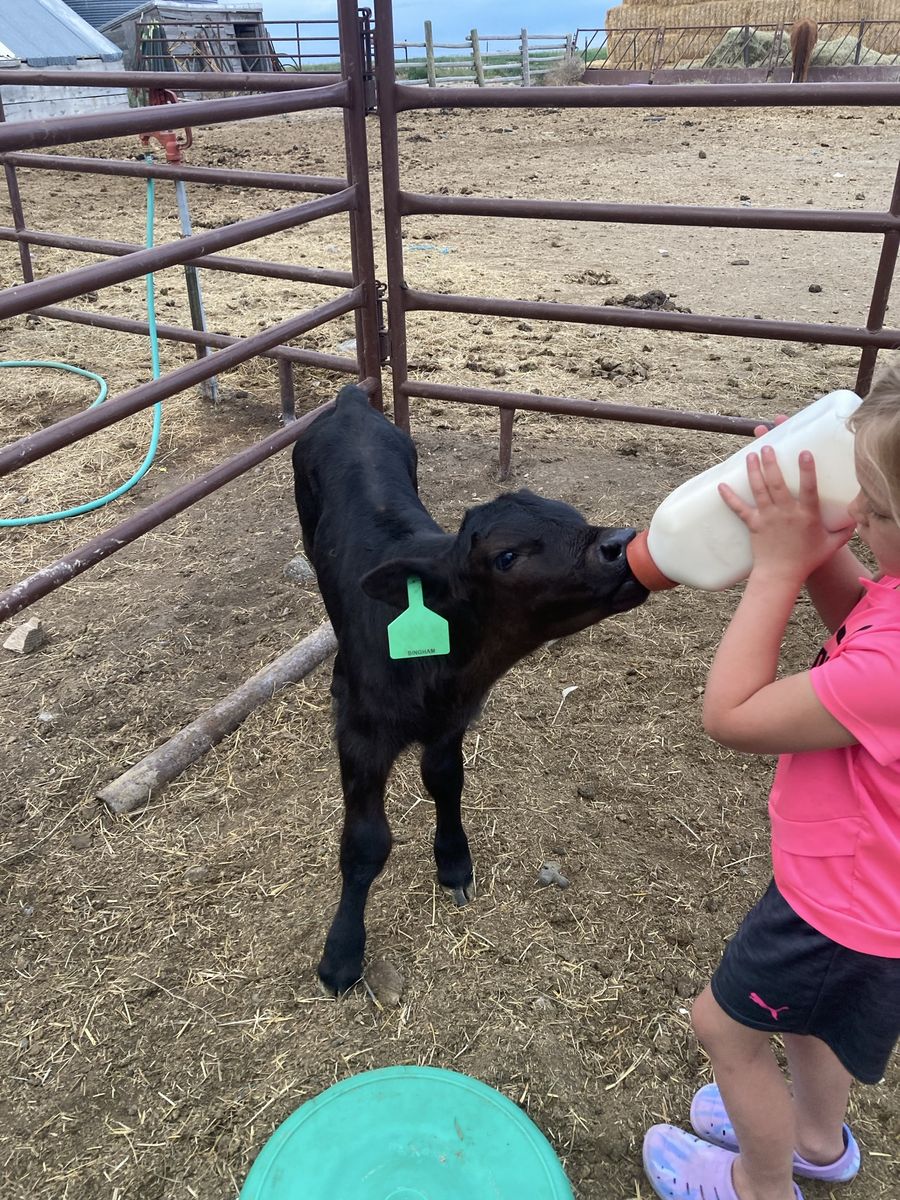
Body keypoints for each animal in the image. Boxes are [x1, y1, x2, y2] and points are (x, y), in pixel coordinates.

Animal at [292, 384, 648, 995]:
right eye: (506, 555)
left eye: (575, 517)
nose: (621, 543)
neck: (441, 671)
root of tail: (349, 401)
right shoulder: (361, 741)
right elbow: (366, 843)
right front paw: (341, 955)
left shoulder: (453, 722)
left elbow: (447, 783)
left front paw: (454, 861)